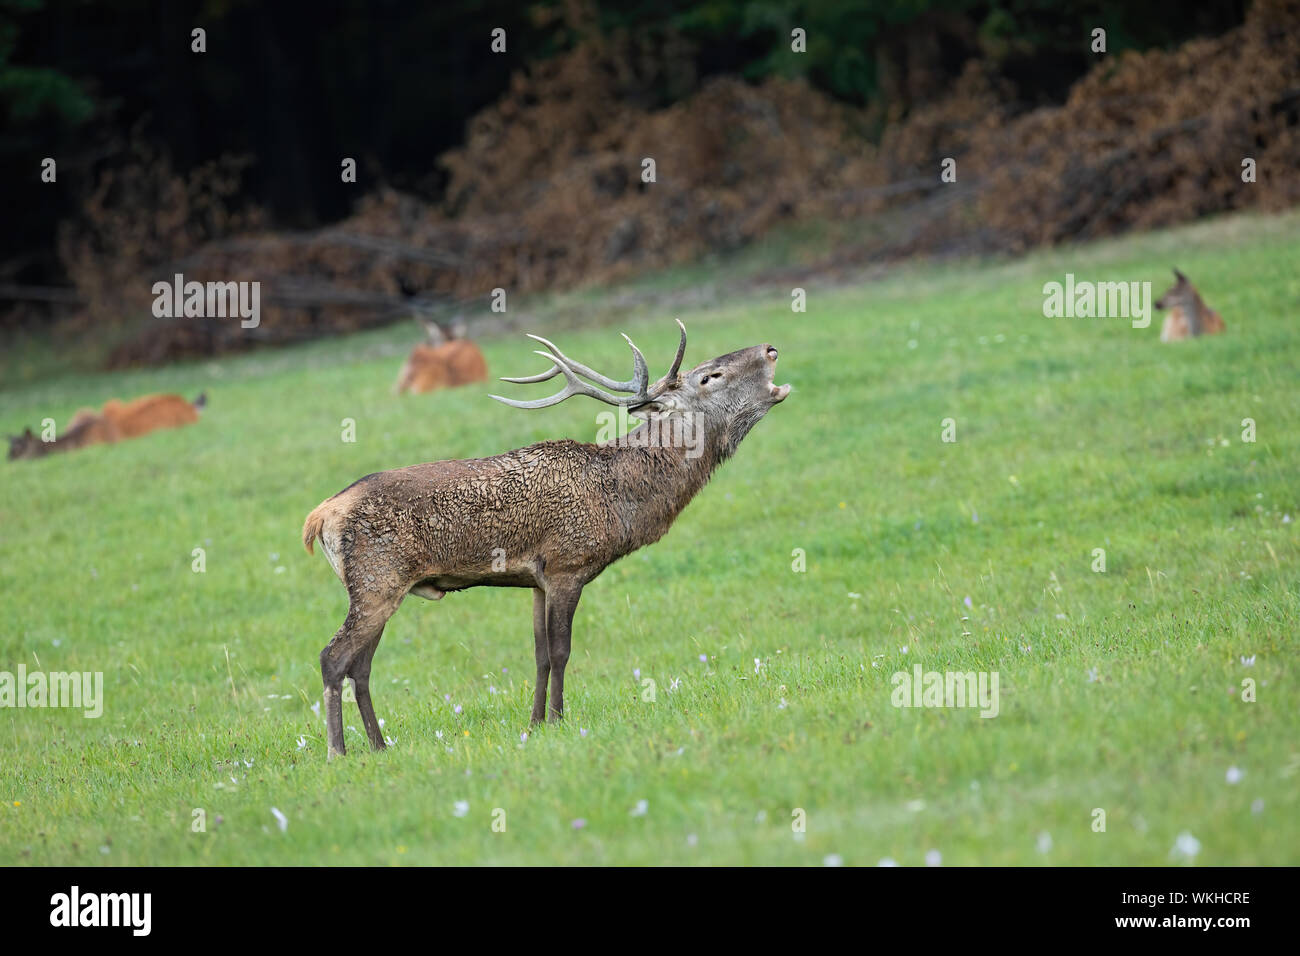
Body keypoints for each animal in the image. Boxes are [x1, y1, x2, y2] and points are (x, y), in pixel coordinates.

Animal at [305, 319, 790, 754]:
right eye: (710, 376)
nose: (770, 348)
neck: (621, 500)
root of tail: (319, 517)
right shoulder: (566, 565)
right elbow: (561, 651)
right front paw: (559, 719)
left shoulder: (535, 580)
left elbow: (538, 655)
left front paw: (535, 723)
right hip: (377, 579)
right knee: (333, 658)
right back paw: (338, 751)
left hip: (380, 587)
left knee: (360, 666)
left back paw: (379, 745)